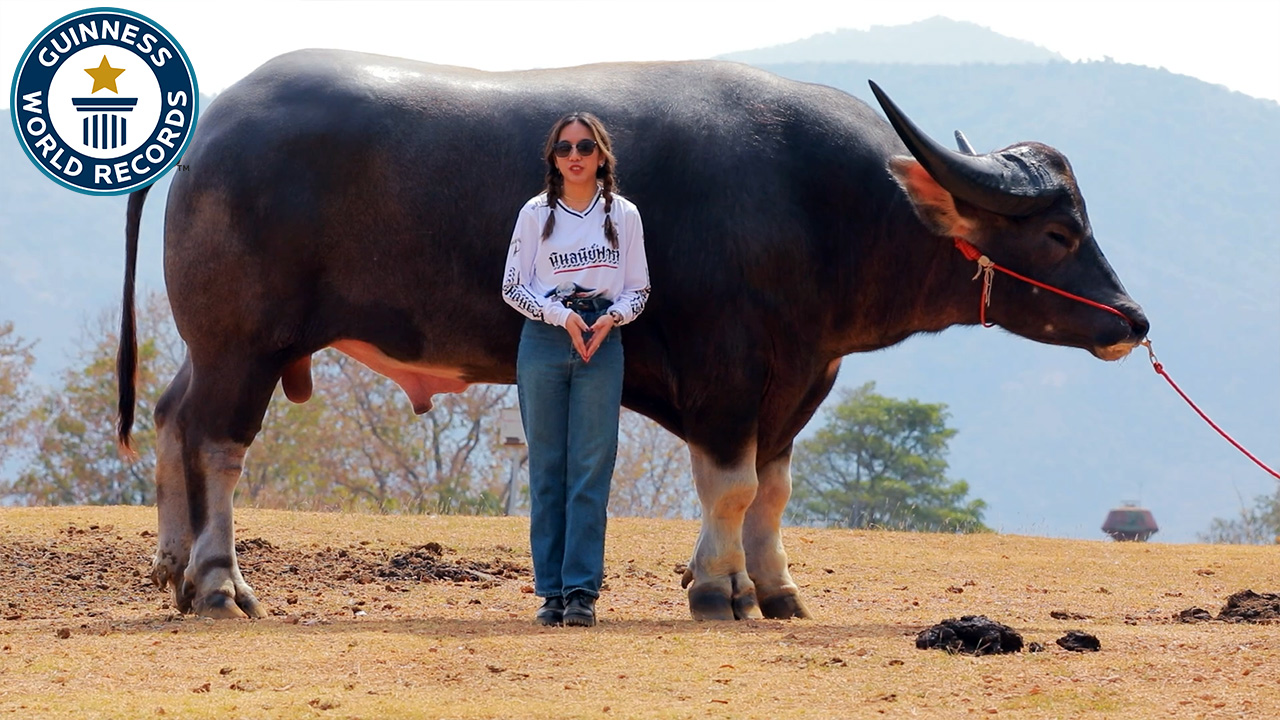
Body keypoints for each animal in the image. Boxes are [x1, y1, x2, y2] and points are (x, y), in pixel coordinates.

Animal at [115, 50, 1146, 620]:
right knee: (218, 445)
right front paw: (717, 592)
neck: (822, 206)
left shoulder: (795, 382)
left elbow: (773, 491)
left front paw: (774, 591)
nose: (1132, 319)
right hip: (245, 342)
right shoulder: (728, 377)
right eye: (1060, 232)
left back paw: (170, 567)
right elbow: (731, 487)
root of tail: (208, 129)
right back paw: (217, 584)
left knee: (171, 418)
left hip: (214, 344)